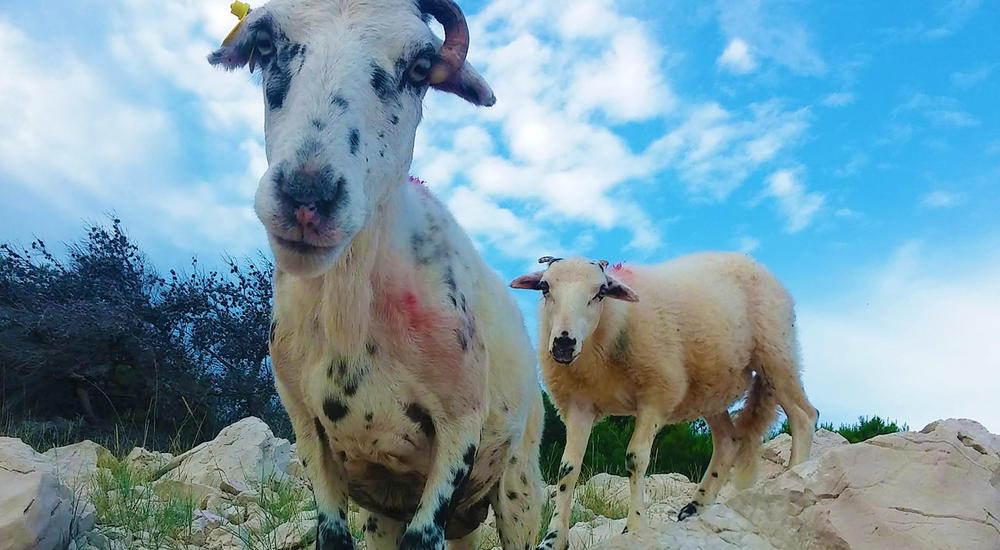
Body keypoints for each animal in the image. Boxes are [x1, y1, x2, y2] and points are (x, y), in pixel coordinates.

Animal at [206, 2, 544, 548]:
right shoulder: (306, 428)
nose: (307, 197)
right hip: (391, 514)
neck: (350, 317)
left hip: (519, 486)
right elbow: (331, 535)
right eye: (264, 44)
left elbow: (422, 538)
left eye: (421, 68)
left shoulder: (460, 426)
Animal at [512, 256, 816, 550]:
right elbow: (568, 469)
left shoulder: (656, 396)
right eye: (544, 287)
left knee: (804, 416)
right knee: (728, 440)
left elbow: (635, 458)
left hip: (776, 353)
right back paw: (696, 505)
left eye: (600, 292)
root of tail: (752, 263)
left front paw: (634, 526)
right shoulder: (579, 406)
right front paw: (552, 538)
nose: (564, 343)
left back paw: (790, 478)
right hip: (709, 388)